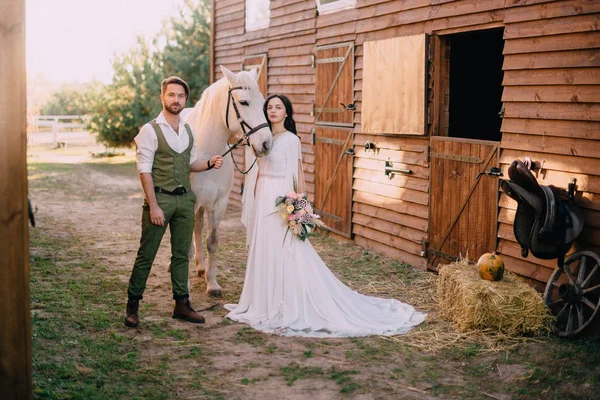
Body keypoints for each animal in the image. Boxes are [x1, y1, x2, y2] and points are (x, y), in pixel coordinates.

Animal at [183, 65, 272, 296]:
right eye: (244, 102)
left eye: (263, 102)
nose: (266, 143)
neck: (206, 153)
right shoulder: (189, 203)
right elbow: (185, 245)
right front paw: (184, 289)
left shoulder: (219, 203)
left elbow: (212, 242)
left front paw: (212, 283)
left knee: (198, 228)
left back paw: (201, 267)